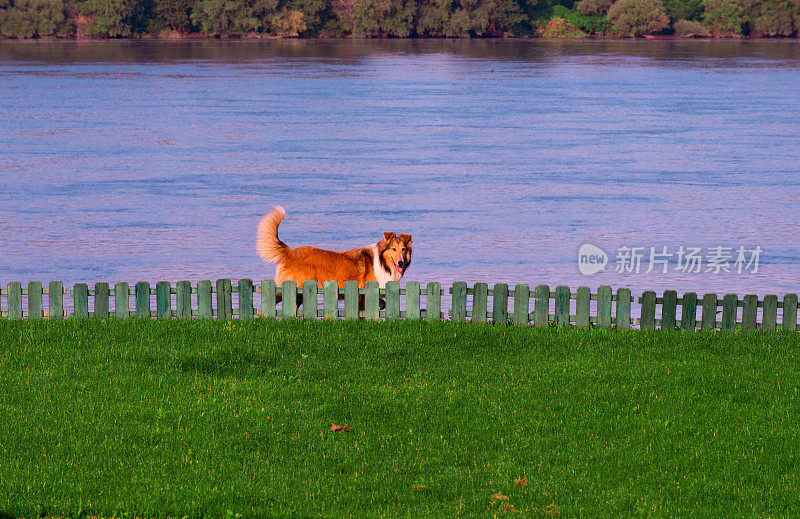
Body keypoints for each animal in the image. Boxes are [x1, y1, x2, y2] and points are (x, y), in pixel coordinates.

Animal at [258, 206, 412, 300]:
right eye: (394, 249)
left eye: (403, 250)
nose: (400, 263)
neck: (382, 262)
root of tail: (289, 251)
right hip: (295, 285)